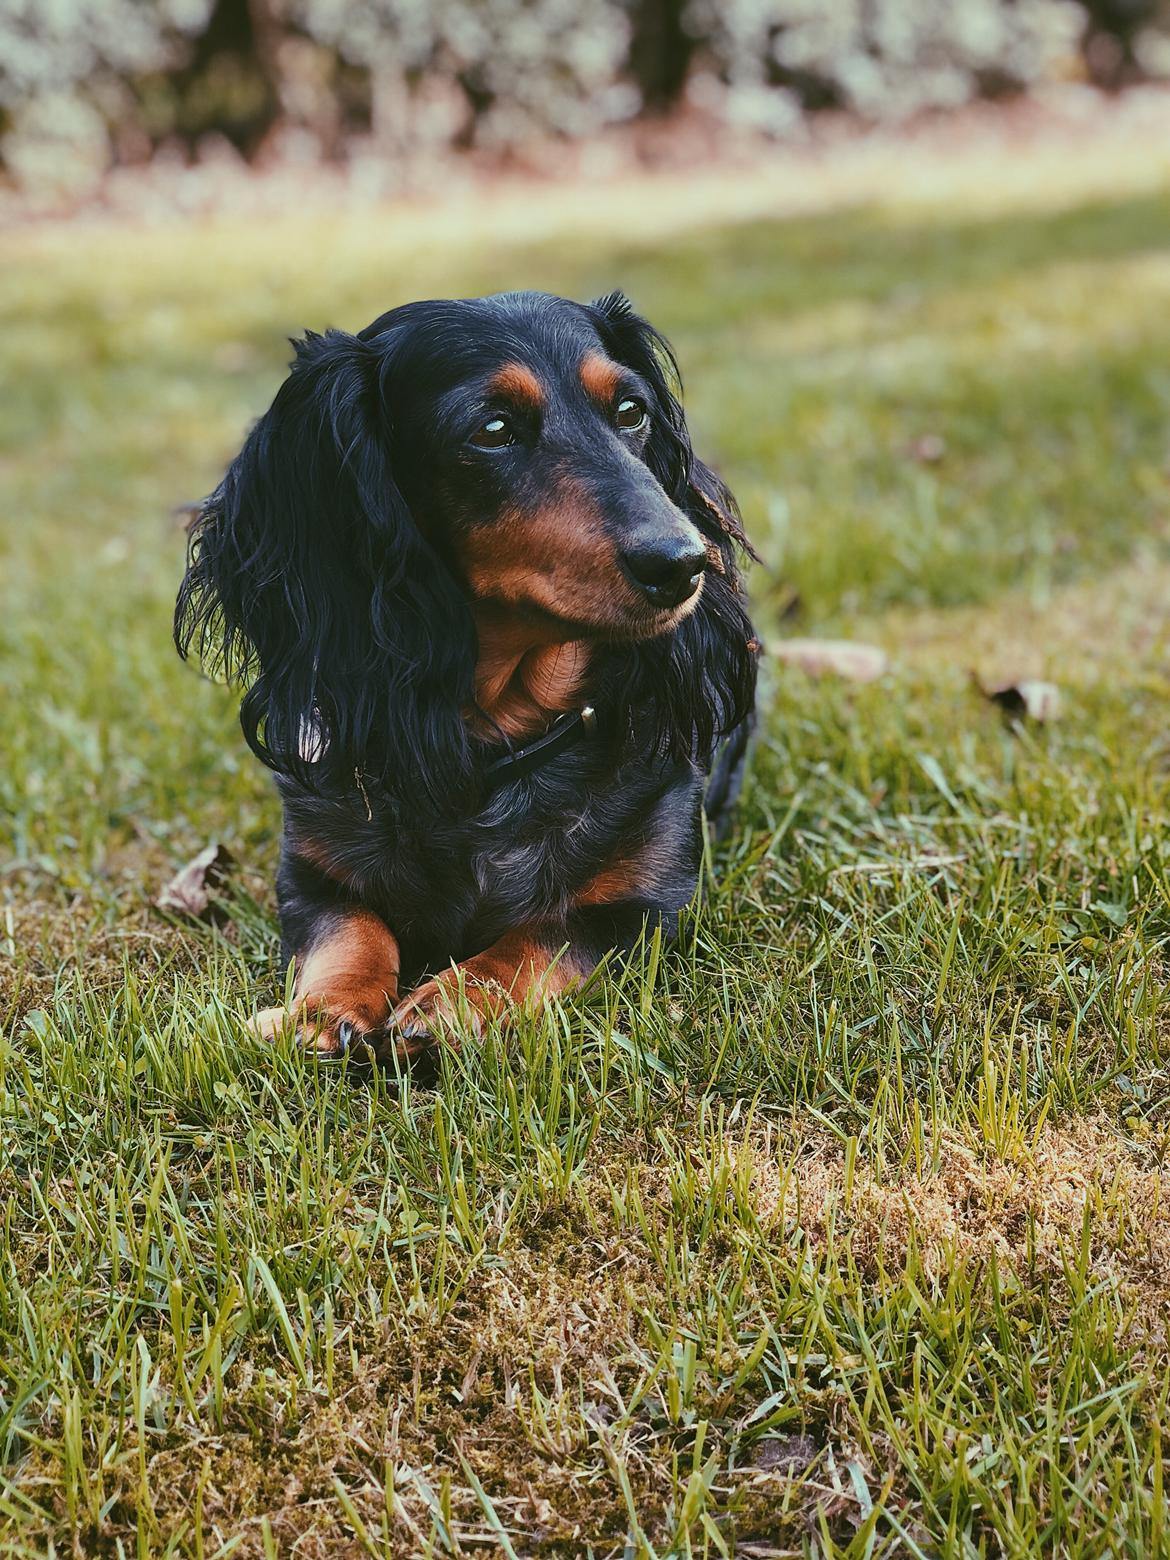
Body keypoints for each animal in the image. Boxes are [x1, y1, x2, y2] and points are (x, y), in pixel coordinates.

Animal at [173, 287, 761, 1054]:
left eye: (632, 411)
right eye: (493, 429)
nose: (685, 563)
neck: (495, 748)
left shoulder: (644, 906)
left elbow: (540, 938)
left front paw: (454, 998)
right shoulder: (312, 873)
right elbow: (350, 929)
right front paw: (321, 1010)